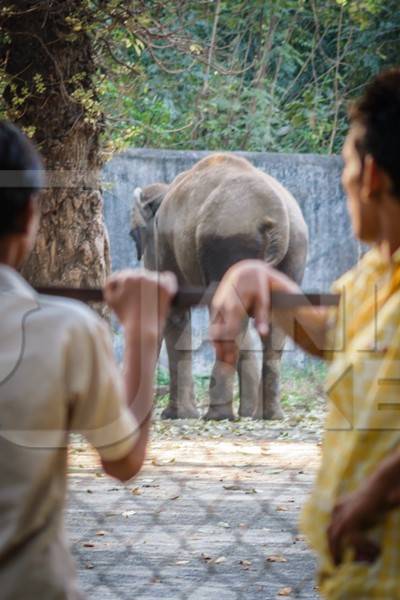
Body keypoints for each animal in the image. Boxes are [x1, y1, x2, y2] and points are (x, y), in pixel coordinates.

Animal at [130, 152, 308, 420]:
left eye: (133, 236)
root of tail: (278, 220)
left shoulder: (166, 248)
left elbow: (175, 312)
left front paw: (176, 415)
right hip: (293, 251)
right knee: (274, 322)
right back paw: (267, 415)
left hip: (229, 243)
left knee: (230, 319)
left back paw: (217, 415)